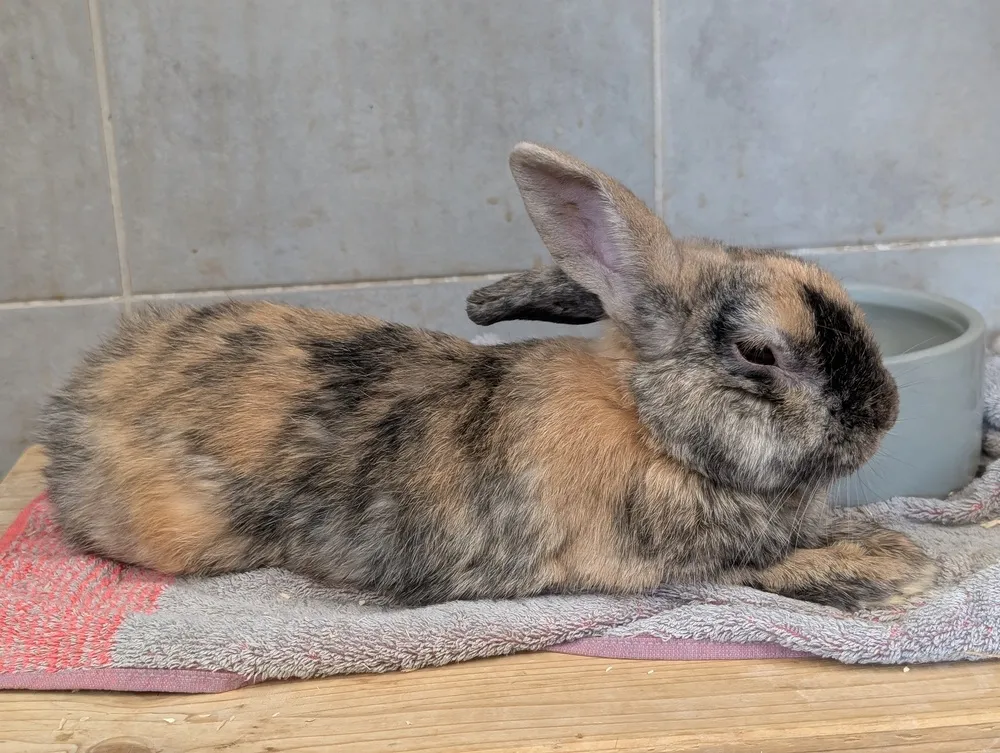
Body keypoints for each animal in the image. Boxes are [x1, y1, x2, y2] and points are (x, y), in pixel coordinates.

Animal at [37, 142, 936, 611]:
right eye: (759, 353)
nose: (886, 413)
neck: (652, 427)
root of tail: (76, 404)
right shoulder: (669, 560)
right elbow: (766, 566)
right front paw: (896, 569)